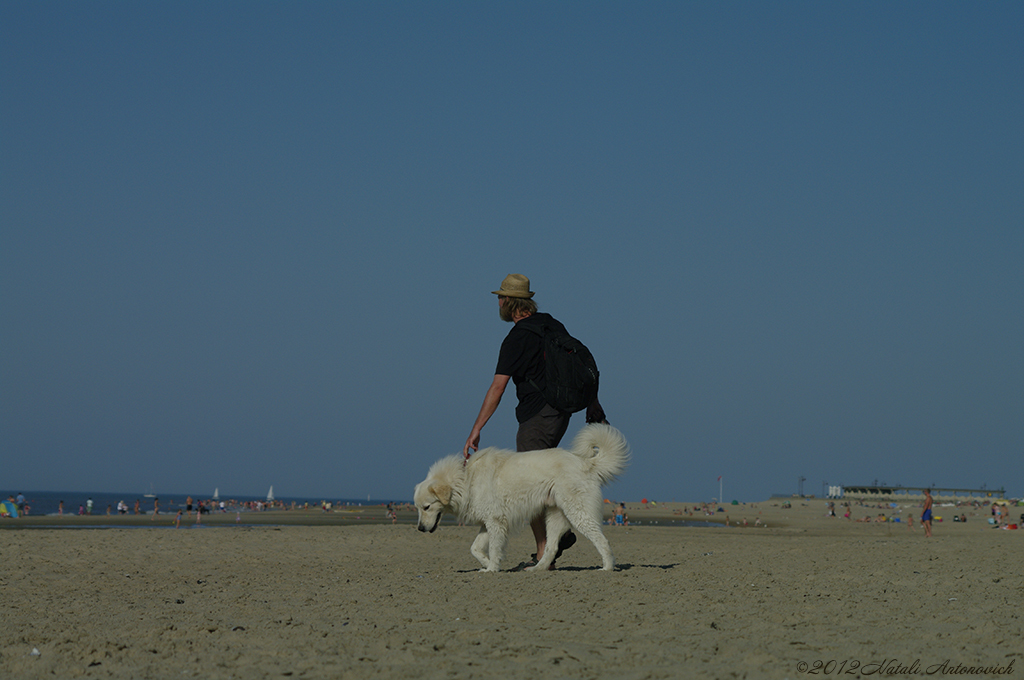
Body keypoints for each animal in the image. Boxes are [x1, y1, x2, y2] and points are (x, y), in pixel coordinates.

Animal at [413, 421, 622, 569]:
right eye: (418, 508)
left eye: (427, 507)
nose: (420, 529)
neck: (464, 479)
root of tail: (586, 463)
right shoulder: (487, 523)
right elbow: (475, 549)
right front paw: (487, 565)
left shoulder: (495, 522)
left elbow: (494, 549)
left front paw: (492, 569)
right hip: (555, 515)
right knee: (552, 547)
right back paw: (537, 569)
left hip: (578, 513)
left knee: (602, 540)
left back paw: (607, 568)